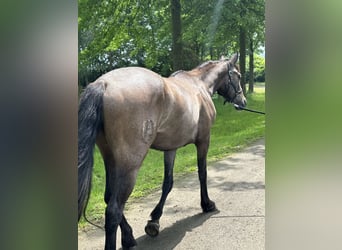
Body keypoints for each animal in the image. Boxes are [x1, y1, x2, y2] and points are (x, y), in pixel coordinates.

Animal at [79, 52, 247, 248]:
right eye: (238, 76)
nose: (243, 101)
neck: (199, 85)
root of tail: (103, 84)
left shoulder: (171, 147)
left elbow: (168, 182)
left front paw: (154, 220)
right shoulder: (204, 141)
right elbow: (202, 173)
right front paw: (207, 204)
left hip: (110, 159)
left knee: (109, 198)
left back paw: (129, 236)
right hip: (129, 165)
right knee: (114, 209)